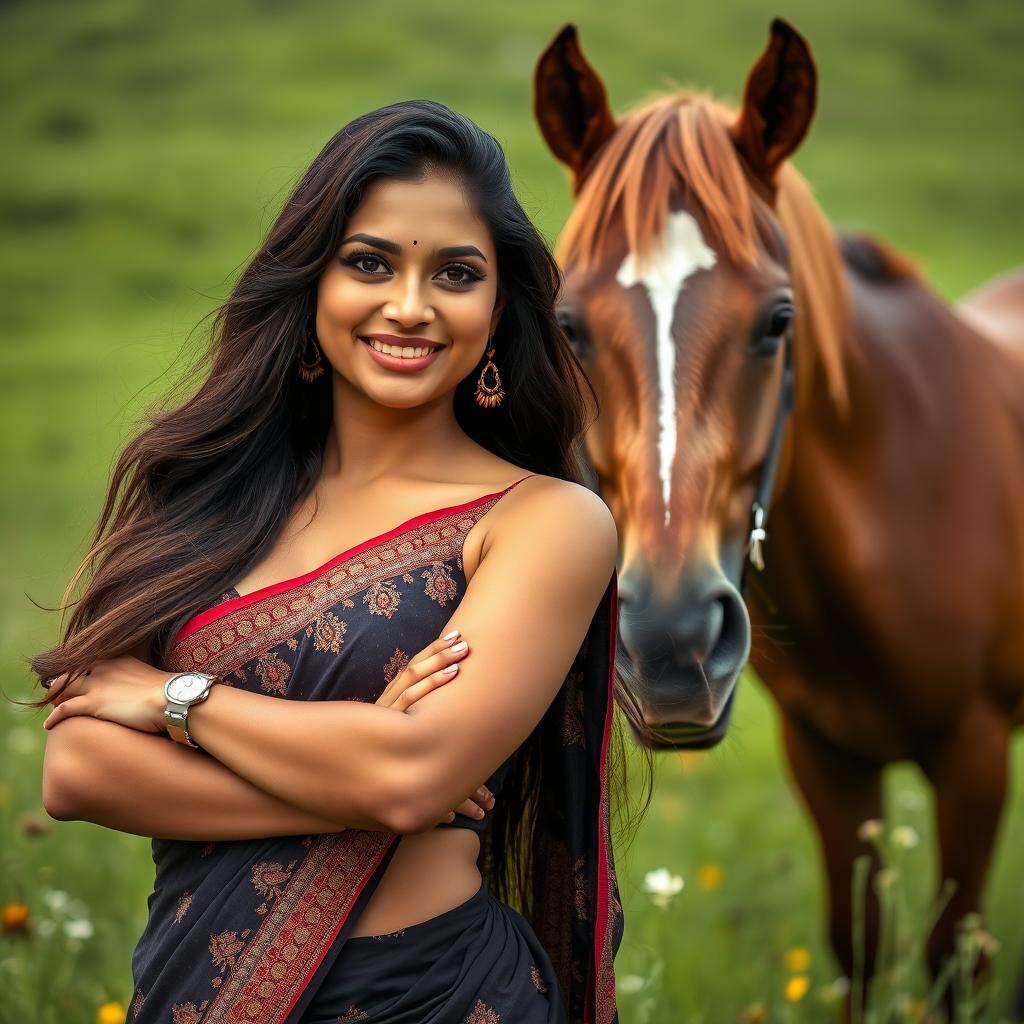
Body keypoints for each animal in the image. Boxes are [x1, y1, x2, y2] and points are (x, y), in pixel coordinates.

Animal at [532, 16, 1024, 991]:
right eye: (568, 326)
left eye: (779, 321)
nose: (670, 642)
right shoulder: (828, 758)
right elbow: (858, 947)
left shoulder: (975, 755)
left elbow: (956, 958)